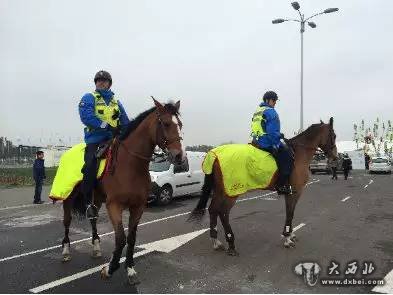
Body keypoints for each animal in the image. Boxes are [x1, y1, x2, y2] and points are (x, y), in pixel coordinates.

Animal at [60, 98, 184, 286]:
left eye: (180, 125)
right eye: (166, 123)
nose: (179, 157)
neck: (131, 165)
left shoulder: (138, 206)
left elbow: (131, 238)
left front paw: (130, 269)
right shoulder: (114, 205)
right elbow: (120, 238)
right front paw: (109, 269)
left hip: (96, 199)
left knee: (93, 219)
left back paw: (96, 247)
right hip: (68, 197)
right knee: (67, 221)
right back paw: (66, 250)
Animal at [188, 117, 336, 254]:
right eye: (333, 135)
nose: (335, 156)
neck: (299, 153)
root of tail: (213, 154)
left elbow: (291, 213)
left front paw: (291, 234)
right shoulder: (294, 192)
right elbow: (290, 212)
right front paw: (287, 238)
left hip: (220, 190)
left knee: (213, 209)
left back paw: (216, 241)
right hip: (232, 191)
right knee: (223, 212)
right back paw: (231, 243)